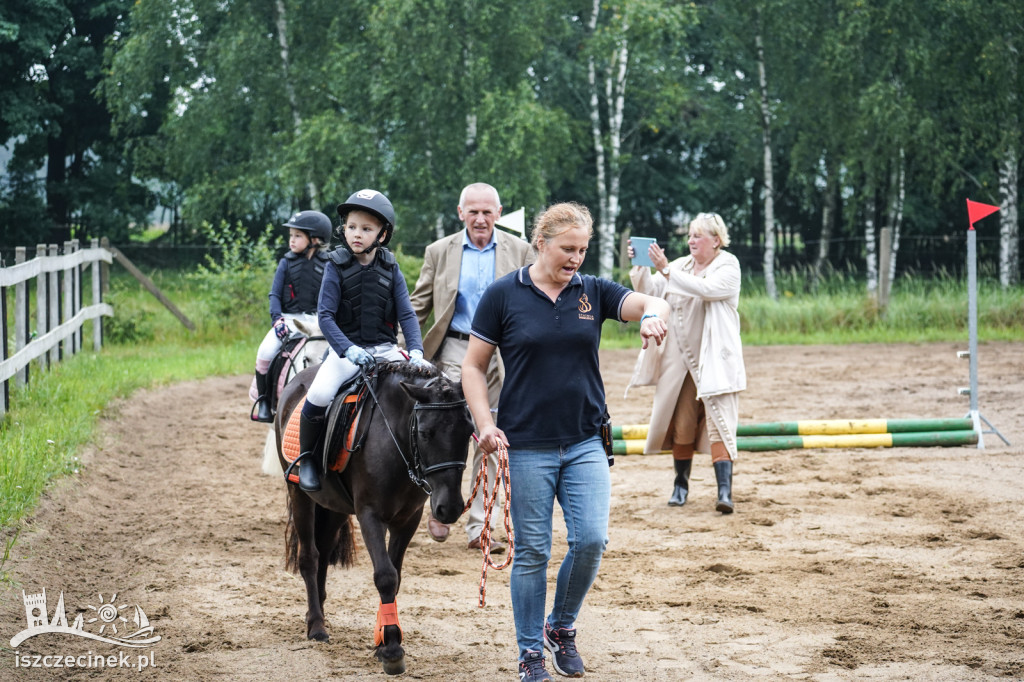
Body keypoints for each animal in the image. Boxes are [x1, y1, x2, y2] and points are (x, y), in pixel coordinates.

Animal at [278, 358, 473, 671]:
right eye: (425, 432)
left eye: (467, 432)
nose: (450, 508)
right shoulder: (371, 515)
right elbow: (385, 576)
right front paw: (392, 650)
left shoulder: (408, 520)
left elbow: (396, 576)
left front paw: (383, 642)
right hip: (300, 495)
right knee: (309, 557)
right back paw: (316, 626)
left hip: (334, 505)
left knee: (324, 551)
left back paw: (318, 611)